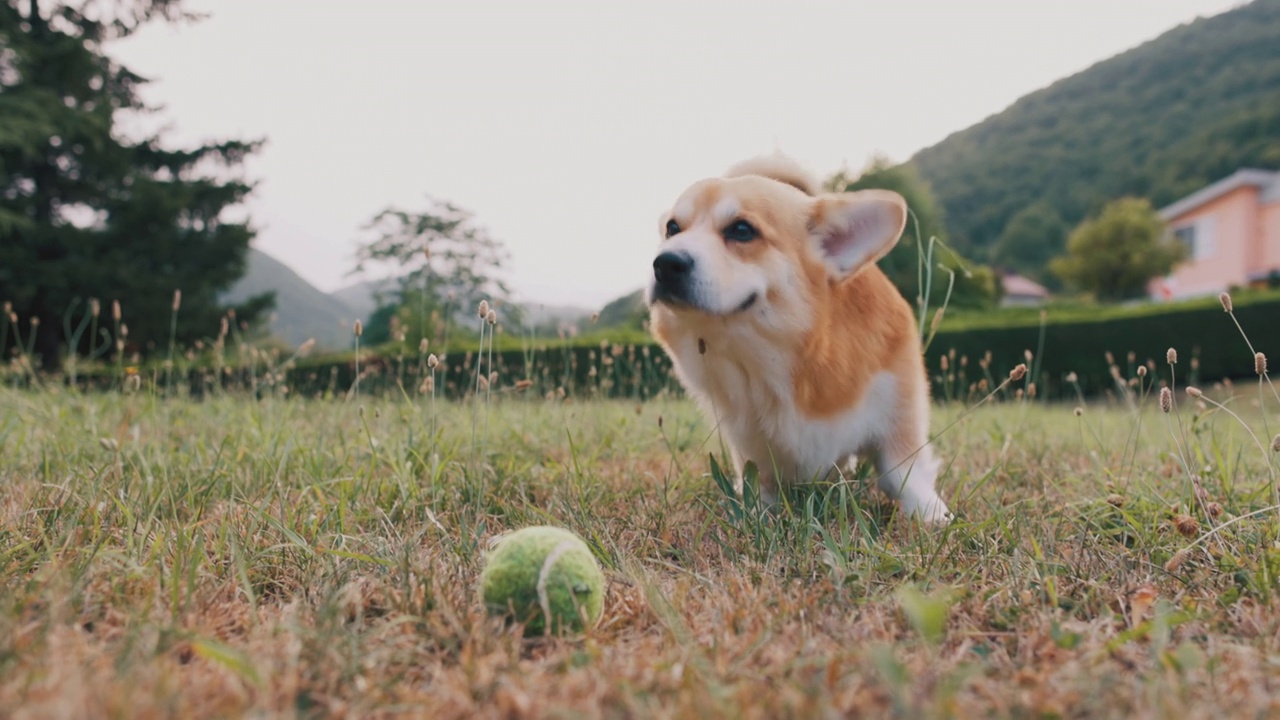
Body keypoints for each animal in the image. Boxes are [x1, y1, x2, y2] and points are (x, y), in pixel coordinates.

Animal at [650, 154, 952, 517]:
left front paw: (933, 515)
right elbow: (759, 481)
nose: (664, 264)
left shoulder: (898, 410)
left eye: (742, 230)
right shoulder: (747, 435)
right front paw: (759, 514)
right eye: (672, 228)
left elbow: (904, 474)